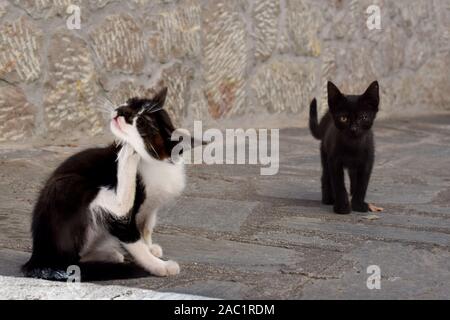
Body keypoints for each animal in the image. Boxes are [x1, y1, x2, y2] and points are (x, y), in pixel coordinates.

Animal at [23, 87, 188, 280]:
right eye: (131, 102)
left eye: (143, 122)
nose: (122, 111)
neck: (156, 162)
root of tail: (39, 258)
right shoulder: (126, 220)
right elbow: (132, 237)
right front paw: (158, 265)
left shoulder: (151, 207)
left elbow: (147, 226)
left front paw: (150, 247)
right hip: (69, 184)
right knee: (115, 209)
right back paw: (127, 154)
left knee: (79, 256)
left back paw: (109, 255)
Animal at [310, 80, 384, 215]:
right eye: (343, 118)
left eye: (363, 117)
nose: (353, 129)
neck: (353, 146)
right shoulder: (334, 162)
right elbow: (339, 184)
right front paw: (342, 207)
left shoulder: (367, 162)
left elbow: (362, 184)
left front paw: (358, 205)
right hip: (325, 154)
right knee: (325, 176)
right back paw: (328, 199)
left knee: (353, 176)